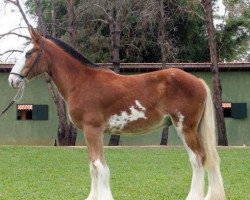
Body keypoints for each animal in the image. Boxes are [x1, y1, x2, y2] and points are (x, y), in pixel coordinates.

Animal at [8, 27, 226, 200]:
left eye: (29, 52)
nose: (12, 80)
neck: (82, 82)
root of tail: (198, 81)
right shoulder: (89, 133)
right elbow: (92, 166)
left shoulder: (93, 130)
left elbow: (99, 166)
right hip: (194, 128)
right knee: (207, 158)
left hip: (185, 128)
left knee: (197, 159)